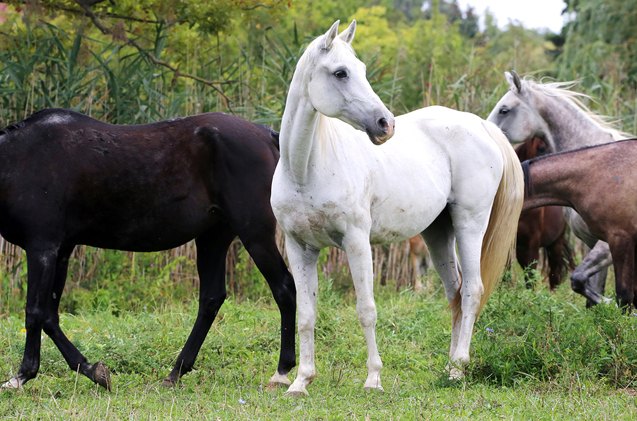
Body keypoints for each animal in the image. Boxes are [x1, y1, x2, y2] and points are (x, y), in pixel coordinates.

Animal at [0, 109, 296, 390]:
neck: (20, 159)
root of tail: (267, 135)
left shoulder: (42, 248)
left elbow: (34, 312)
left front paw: (21, 376)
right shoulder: (61, 250)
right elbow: (50, 316)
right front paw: (93, 371)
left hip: (254, 233)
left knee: (284, 289)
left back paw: (282, 371)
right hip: (214, 237)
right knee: (211, 299)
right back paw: (176, 372)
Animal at [270, 20, 524, 394]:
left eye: (362, 69)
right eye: (341, 72)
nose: (385, 124)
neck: (305, 168)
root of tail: (482, 126)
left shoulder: (356, 242)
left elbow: (366, 309)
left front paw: (373, 378)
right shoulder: (299, 247)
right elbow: (306, 314)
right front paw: (301, 381)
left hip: (470, 225)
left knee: (472, 291)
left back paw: (458, 368)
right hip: (438, 234)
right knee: (455, 293)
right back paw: (449, 367)